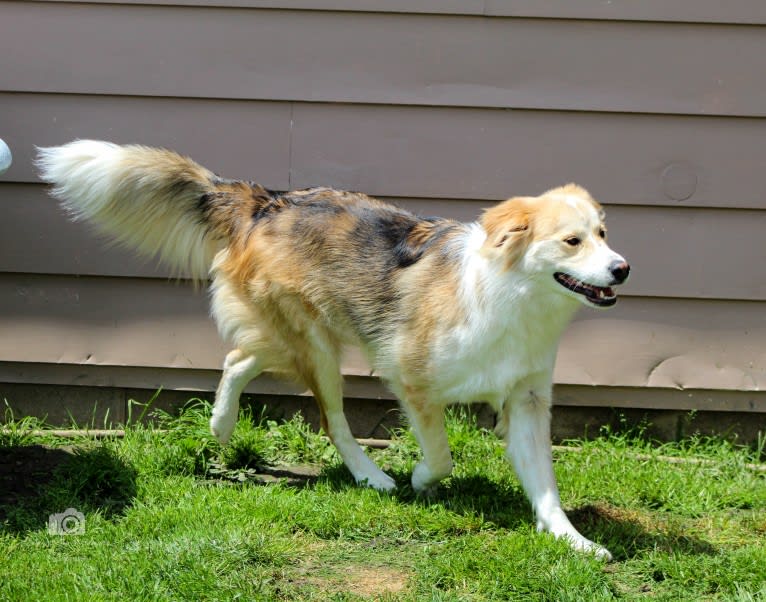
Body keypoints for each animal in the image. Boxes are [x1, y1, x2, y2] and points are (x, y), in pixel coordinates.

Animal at [37, 138, 632, 556]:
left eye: (604, 233)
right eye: (572, 241)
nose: (622, 269)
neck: (513, 296)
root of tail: (267, 200)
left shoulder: (527, 400)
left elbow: (546, 485)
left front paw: (573, 540)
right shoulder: (411, 378)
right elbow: (441, 455)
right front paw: (419, 479)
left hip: (300, 334)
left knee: (239, 356)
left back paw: (221, 425)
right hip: (317, 345)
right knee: (331, 419)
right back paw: (370, 475)